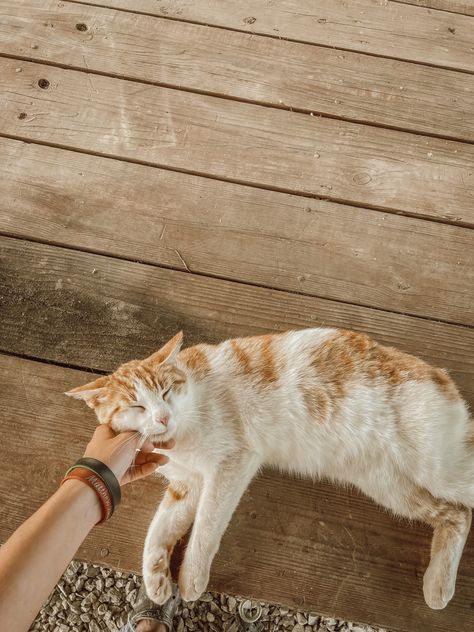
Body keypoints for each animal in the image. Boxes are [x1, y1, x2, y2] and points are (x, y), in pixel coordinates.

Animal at [65, 328, 472, 608]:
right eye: (136, 406)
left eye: (166, 392)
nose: (163, 417)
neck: (177, 441)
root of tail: (441, 375)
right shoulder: (187, 483)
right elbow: (160, 527)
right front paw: (155, 578)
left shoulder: (231, 464)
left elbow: (206, 526)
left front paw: (191, 577)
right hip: (389, 485)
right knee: (455, 515)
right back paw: (437, 585)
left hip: (436, 467)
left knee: (463, 501)